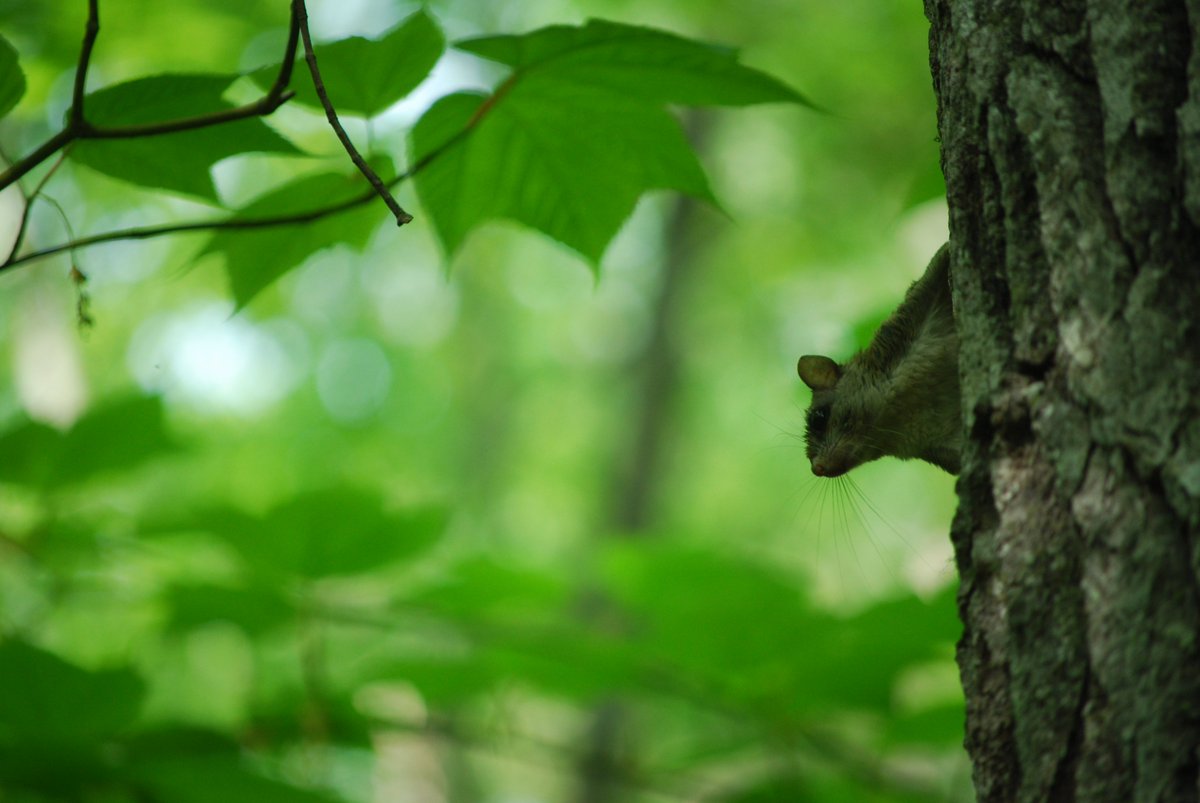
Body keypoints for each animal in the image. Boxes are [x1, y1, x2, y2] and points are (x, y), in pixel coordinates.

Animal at [796, 243, 961, 477]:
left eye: (818, 418)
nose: (816, 468)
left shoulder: (904, 328)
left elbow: (930, 278)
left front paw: (947, 248)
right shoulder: (940, 445)